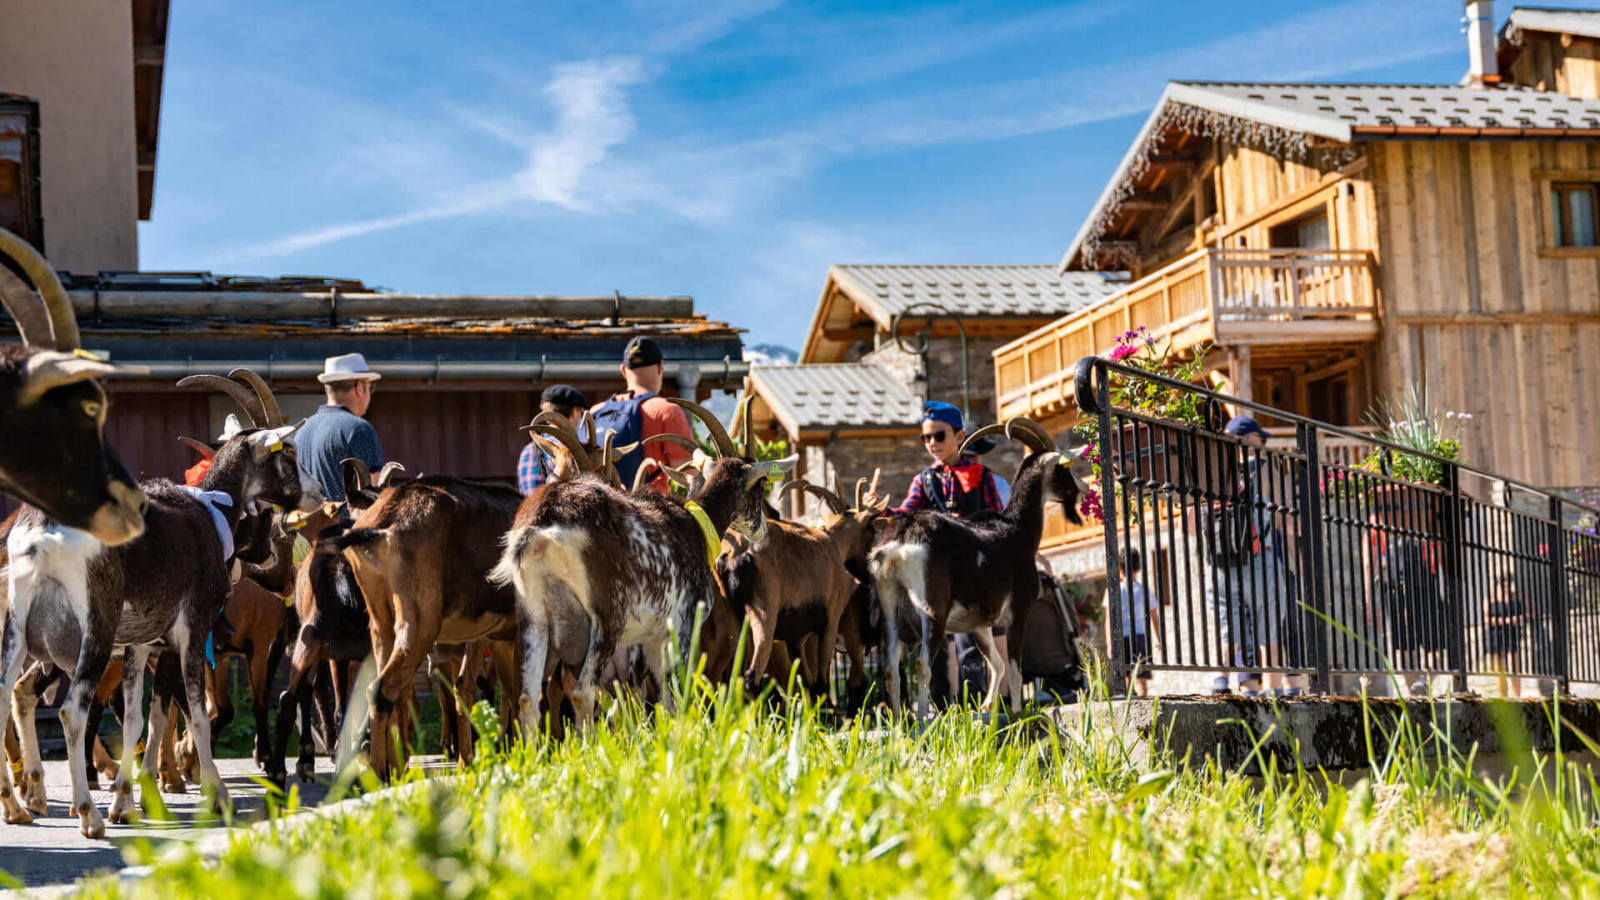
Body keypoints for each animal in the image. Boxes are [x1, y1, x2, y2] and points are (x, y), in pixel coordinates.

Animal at [0, 368, 321, 832]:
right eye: (289, 450)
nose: (317, 493)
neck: (211, 512)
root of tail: (40, 531)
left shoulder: (139, 644)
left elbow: (141, 717)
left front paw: (126, 802)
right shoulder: (191, 631)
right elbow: (197, 714)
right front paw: (216, 795)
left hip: (20, 629)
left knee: (7, 696)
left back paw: (17, 804)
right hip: (94, 630)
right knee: (72, 711)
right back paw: (86, 813)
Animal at [489, 395, 796, 739]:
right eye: (761, 484)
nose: (764, 528)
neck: (695, 523)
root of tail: (545, 519)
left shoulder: (651, 638)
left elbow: (661, 701)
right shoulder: (683, 623)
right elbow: (677, 696)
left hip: (535, 615)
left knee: (528, 699)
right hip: (608, 615)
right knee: (582, 692)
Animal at [870, 416, 1081, 717]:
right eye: (1065, 468)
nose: (1082, 489)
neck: (1017, 529)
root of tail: (899, 542)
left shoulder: (980, 624)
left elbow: (997, 663)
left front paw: (988, 707)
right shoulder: (1019, 612)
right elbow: (1015, 670)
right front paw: (1017, 712)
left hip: (889, 608)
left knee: (890, 669)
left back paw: (900, 721)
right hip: (931, 610)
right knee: (923, 664)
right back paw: (922, 718)